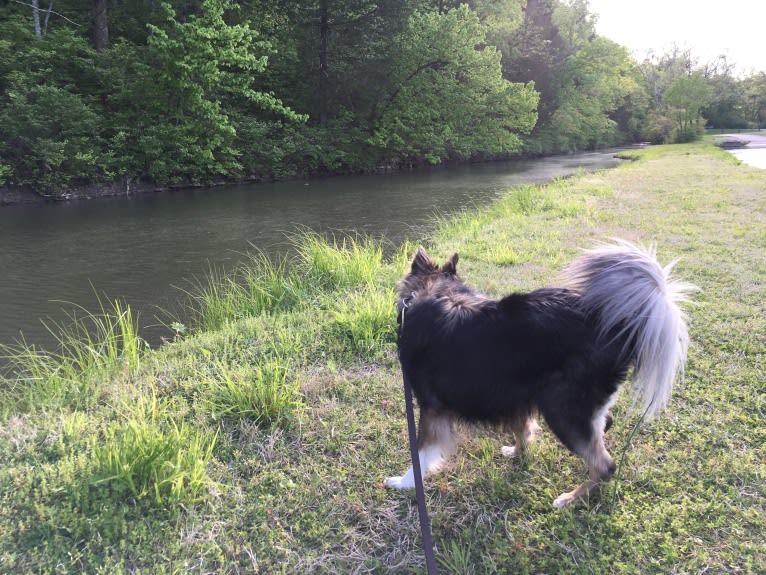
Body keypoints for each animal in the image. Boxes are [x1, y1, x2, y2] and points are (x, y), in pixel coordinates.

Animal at [388, 242, 692, 508]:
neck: (434, 292)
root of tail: (618, 326)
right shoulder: (513, 394)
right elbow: (522, 429)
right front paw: (517, 452)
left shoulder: (432, 407)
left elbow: (421, 451)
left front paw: (403, 483)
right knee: (604, 426)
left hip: (562, 410)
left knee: (606, 466)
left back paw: (570, 499)